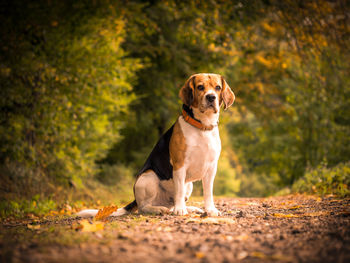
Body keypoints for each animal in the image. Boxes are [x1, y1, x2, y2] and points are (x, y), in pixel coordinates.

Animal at [78, 73, 234, 218]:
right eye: (200, 87)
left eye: (217, 87)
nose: (211, 97)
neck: (202, 127)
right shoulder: (179, 165)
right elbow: (179, 190)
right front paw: (180, 210)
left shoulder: (211, 168)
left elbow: (208, 192)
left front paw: (210, 210)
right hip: (148, 177)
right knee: (144, 207)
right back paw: (160, 209)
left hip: (188, 184)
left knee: (172, 202)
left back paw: (188, 208)